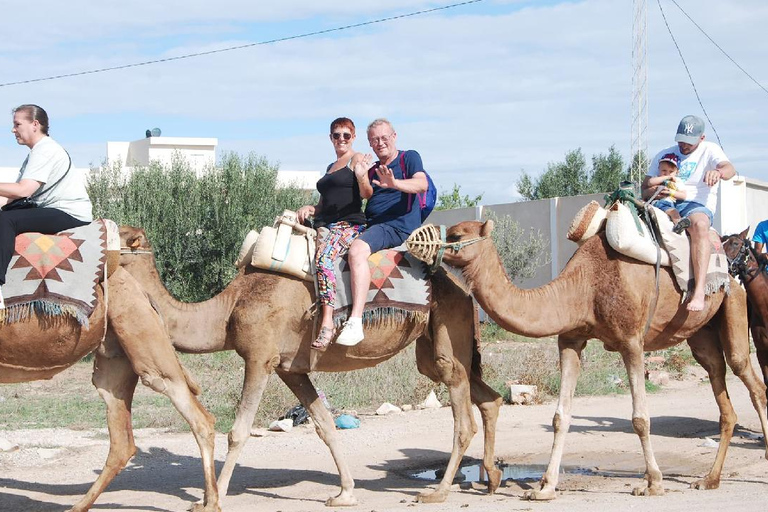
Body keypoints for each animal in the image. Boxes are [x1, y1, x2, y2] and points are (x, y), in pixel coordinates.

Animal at [0, 265, 220, 512]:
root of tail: (142, 292)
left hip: (145, 342)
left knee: (199, 418)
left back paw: (211, 504)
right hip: (114, 360)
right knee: (122, 443)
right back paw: (79, 506)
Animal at [118, 226, 503, 506]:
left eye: (117, 235)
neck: (227, 309)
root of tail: (462, 288)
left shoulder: (259, 357)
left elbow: (238, 431)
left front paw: (211, 499)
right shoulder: (290, 368)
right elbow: (325, 426)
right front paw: (345, 493)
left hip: (448, 331)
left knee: (462, 414)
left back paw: (439, 492)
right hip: (434, 345)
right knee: (485, 395)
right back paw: (492, 478)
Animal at [430, 219, 768, 499]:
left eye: (456, 235)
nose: (426, 246)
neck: (583, 287)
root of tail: (730, 274)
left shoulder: (631, 341)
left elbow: (640, 419)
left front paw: (653, 483)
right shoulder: (570, 340)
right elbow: (560, 417)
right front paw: (545, 488)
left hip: (733, 307)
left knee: (750, 379)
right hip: (700, 335)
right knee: (720, 383)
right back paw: (709, 480)